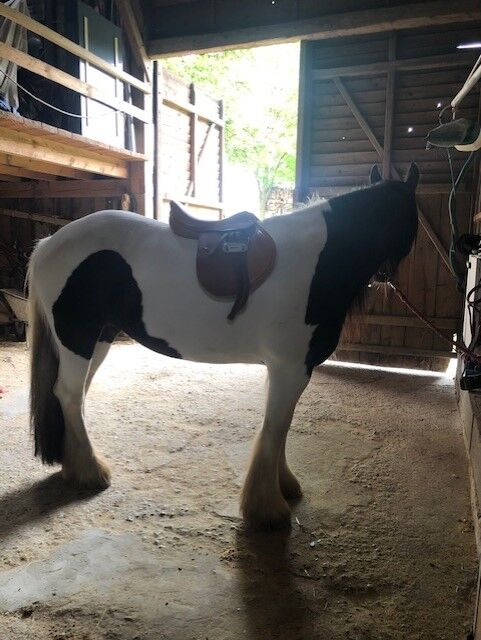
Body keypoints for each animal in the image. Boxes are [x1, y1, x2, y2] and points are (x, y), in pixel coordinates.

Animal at [27, 163, 419, 530]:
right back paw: (91, 473)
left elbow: (281, 426)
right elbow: (275, 426)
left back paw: (75, 466)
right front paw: (268, 509)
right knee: (69, 393)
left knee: (73, 396)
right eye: (411, 218)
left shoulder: (285, 369)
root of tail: (48, 244)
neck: (318, 260)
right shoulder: (291, 368)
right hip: (78, 339)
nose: (386, 277)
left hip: (99, 338)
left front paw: (285, 486)